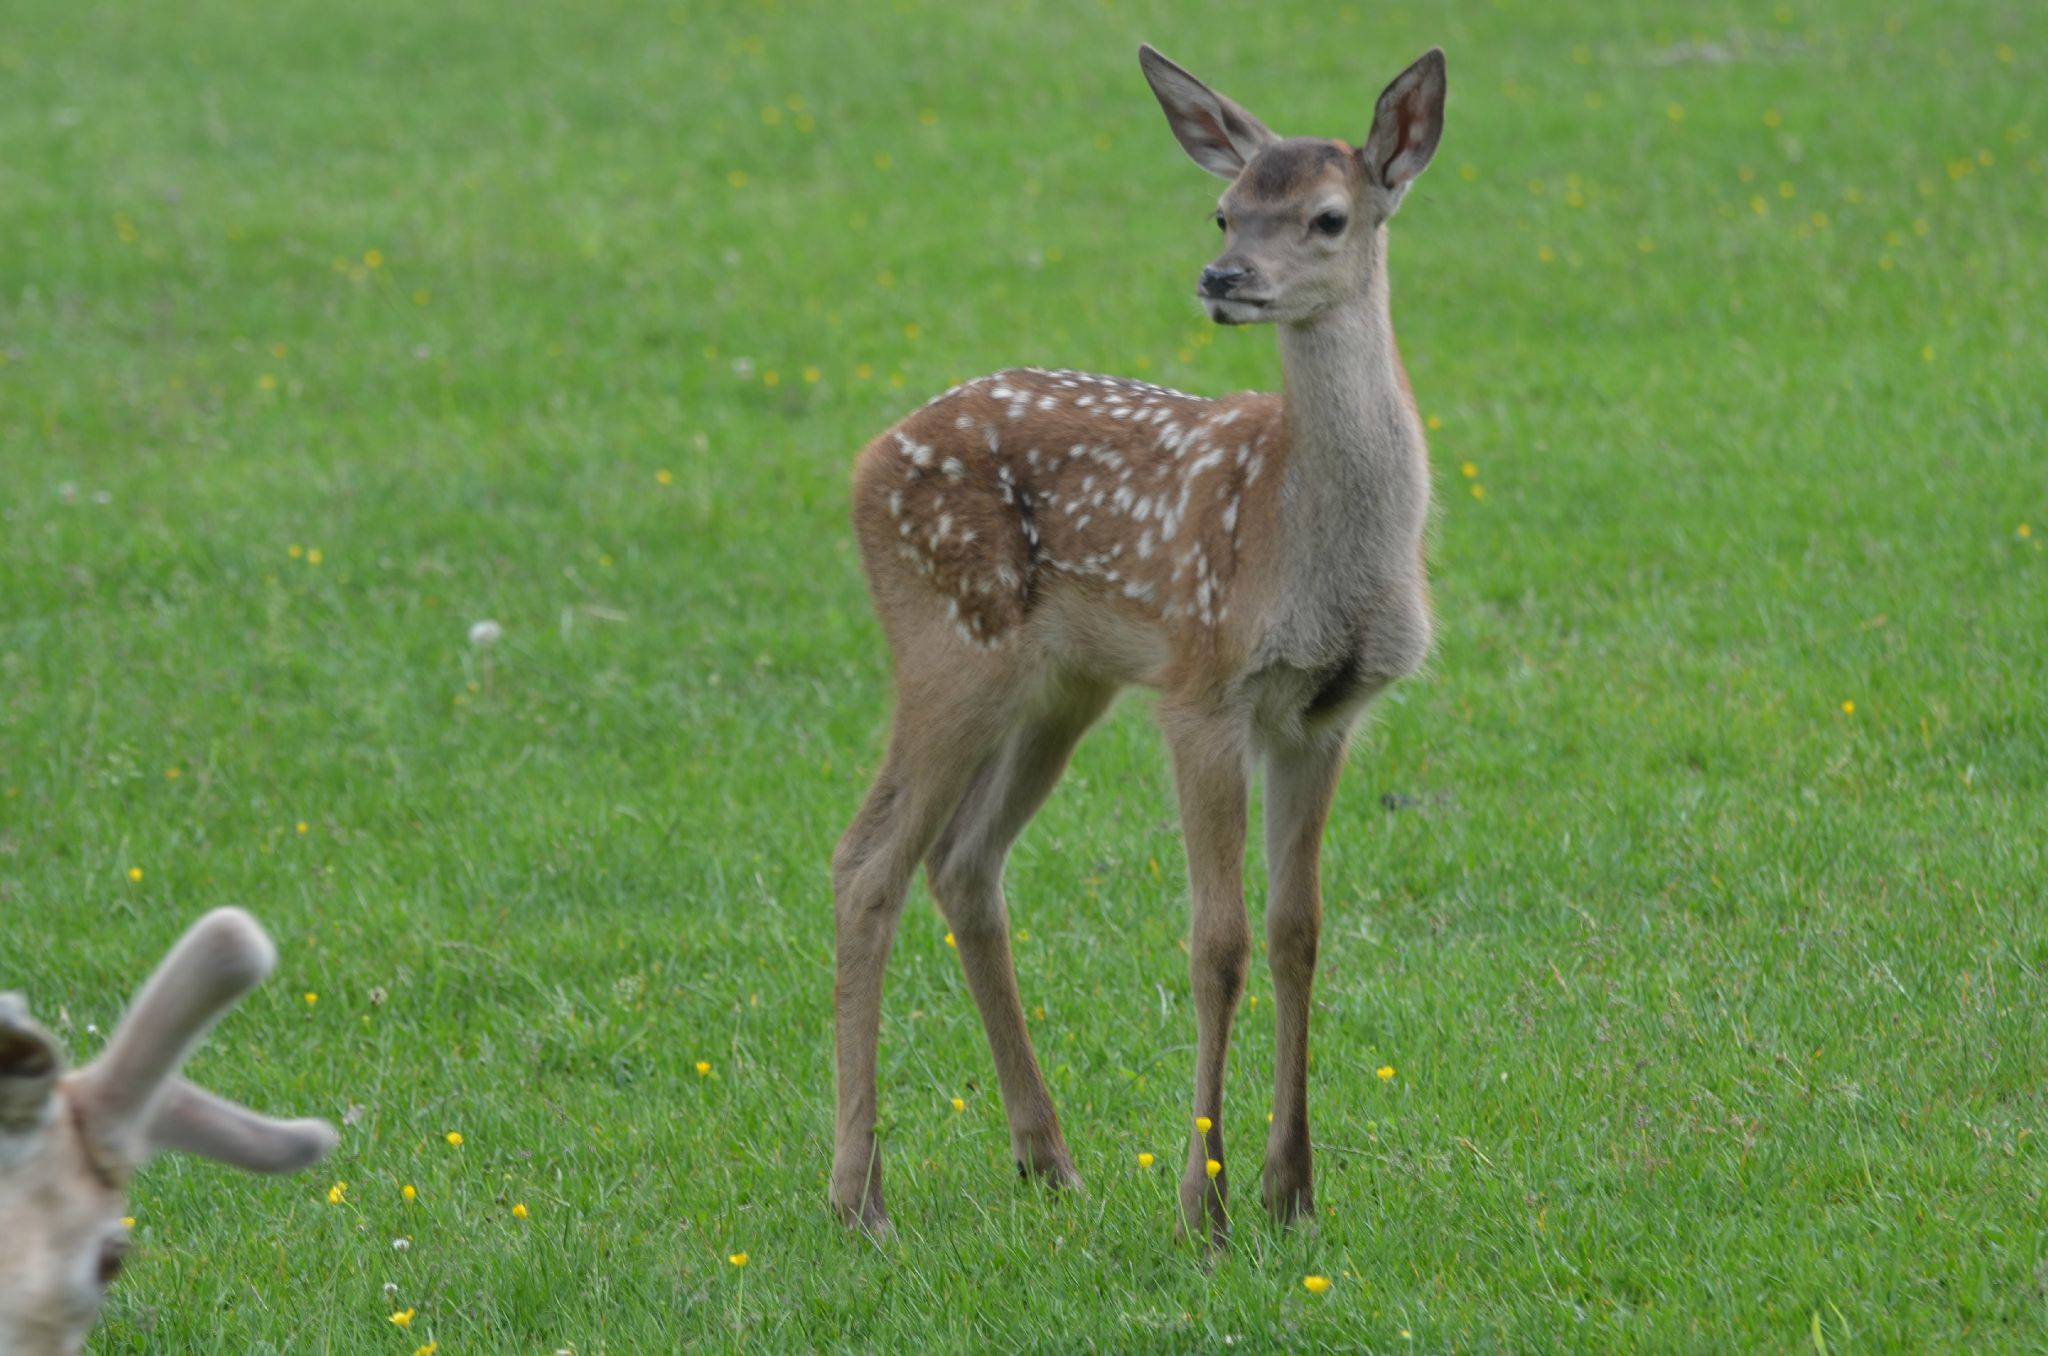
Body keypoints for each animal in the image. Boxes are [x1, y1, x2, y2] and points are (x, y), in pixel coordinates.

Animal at [823, 39, 1449, 1253]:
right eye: (1222, 210)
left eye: (1328, 218)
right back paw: (857, 1195)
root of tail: (869, 458)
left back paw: (1047, 1161)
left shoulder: (1322, 714)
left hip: (1059, 687)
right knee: (866, 861)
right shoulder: (1202, 690)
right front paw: (1203, 1207)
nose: (1223, 280)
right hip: (948, 643)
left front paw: (1292, 1192)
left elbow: (1298, 930)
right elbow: (1218, 943)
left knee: (962, 864)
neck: (1311, 546)